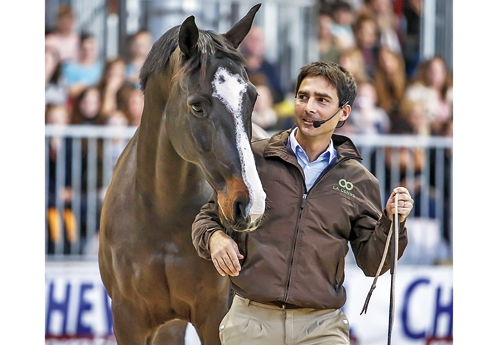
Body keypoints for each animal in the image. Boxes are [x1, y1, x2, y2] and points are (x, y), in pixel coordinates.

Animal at [98, 4, 270, 342]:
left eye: (252, 97)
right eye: (197, 106)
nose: (250, 204)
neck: (161, 215)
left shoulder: (215, 317)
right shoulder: (127, 320)